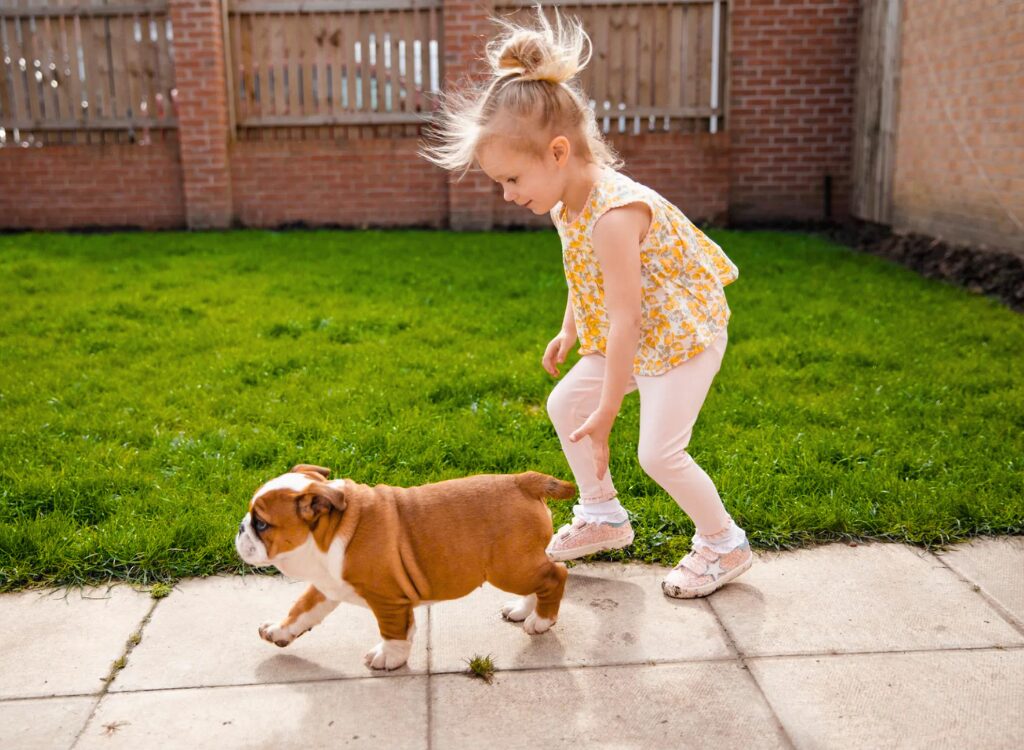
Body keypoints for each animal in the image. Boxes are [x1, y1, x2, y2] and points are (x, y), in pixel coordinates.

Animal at [237, 465, 577, 672]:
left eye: (262, 524)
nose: (240, 528)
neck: (330, 531)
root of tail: (522, 480)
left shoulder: (386, 599)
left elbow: (392, 630)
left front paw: (389, 657)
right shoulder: (325, 586)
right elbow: (301, 610)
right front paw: (279, 630)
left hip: (508, 567)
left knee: (556, 574)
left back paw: (541, 621)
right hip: (520, 565)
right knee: (545, 574)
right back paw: (523, 609)